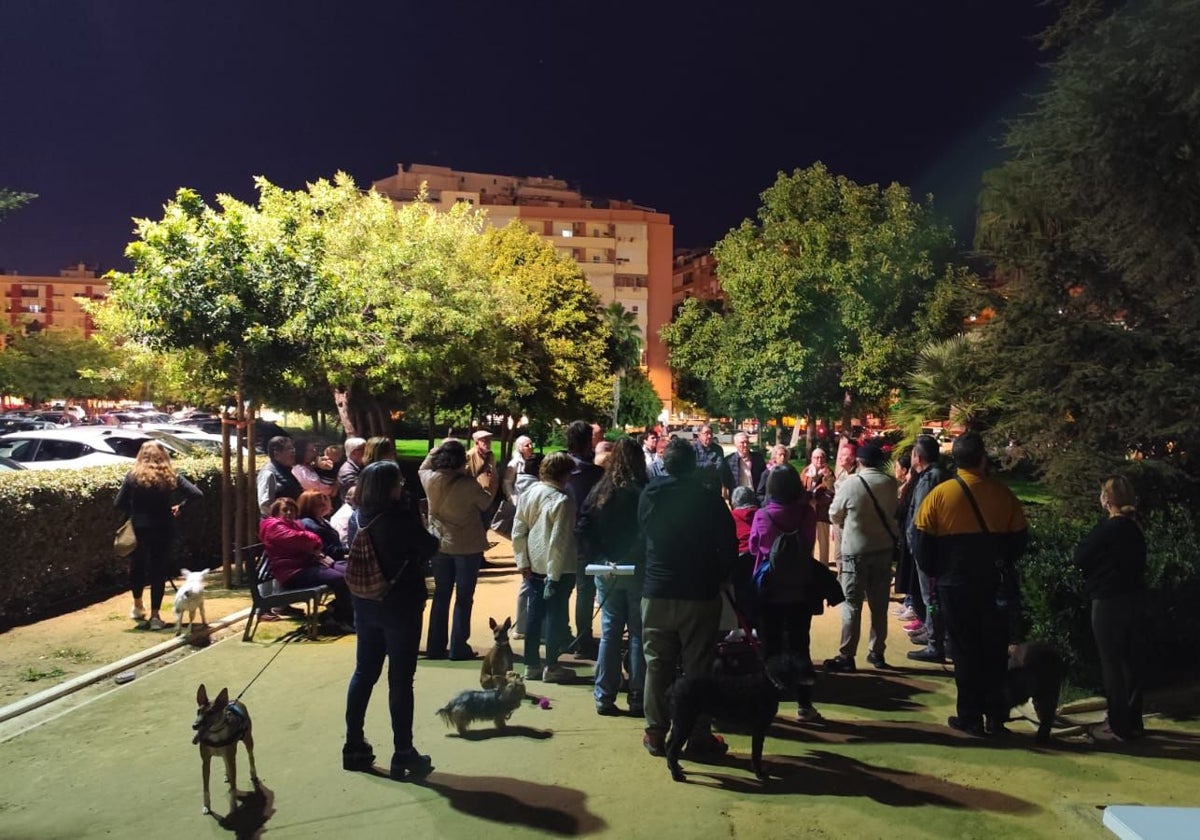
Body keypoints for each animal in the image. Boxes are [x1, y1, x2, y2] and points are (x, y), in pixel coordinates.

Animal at [193, 681, 259, 816]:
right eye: (198, 711)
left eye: (211, 713)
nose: (194, 725)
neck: (216, 733)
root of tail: (234, 701)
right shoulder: (205, 762)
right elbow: (205, 787)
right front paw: (206, 806)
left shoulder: (231, 758)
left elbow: (233, 787)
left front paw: (233, 807)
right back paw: (226, 774)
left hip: (248, 740)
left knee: (251, 756)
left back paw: (253, 773)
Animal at [662, 652, 811, 782]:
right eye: (801, 664)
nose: (814, 676)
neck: (769, 682)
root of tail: (673, 687)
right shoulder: (759, 730)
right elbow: (756, 754)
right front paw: (760, 774)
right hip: (684, 723)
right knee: (672, 750)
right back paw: (677, 775)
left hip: (679, 722)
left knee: (668, 745)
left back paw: (674, 767)